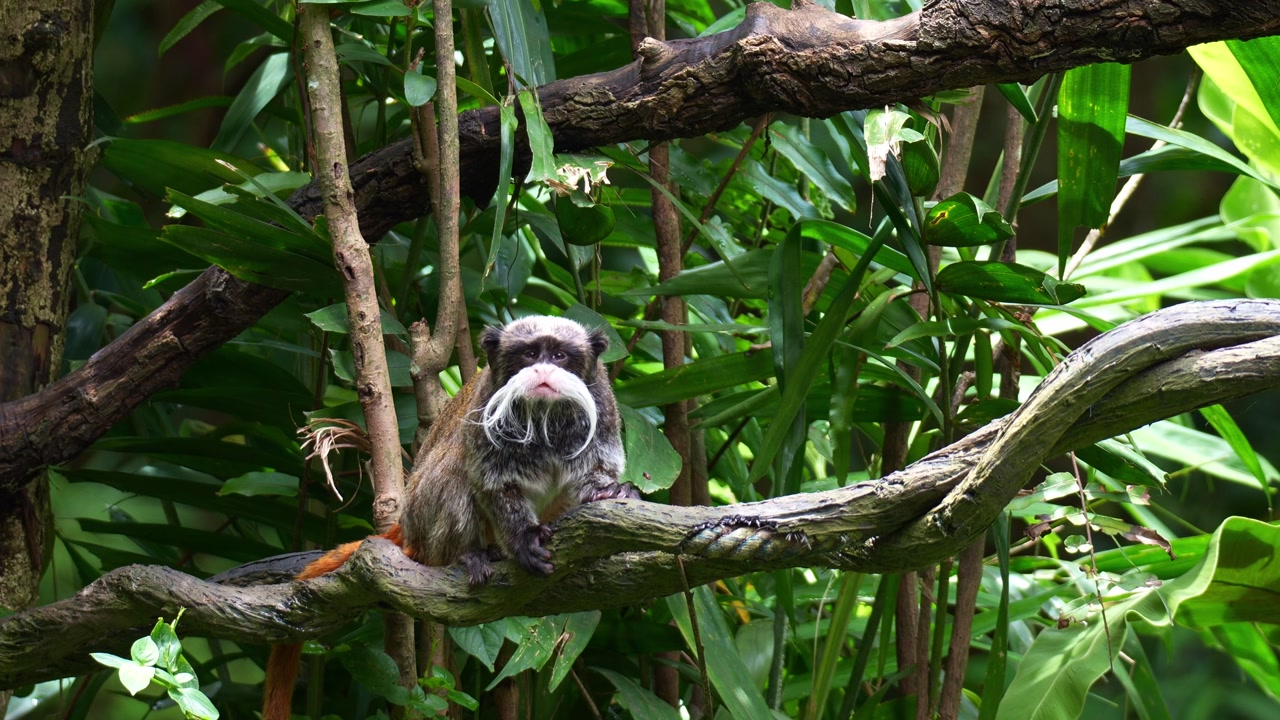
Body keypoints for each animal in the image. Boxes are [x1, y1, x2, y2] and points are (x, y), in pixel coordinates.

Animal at [262, 315, 639, 720]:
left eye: (559, 355)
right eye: (529, 354)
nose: (543, 370)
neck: (545, 417)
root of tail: (409, 528)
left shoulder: (602, 406)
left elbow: (595, 472)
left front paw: (611, 492)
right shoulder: (488, 412)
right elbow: (493, 483)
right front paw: (523, 542)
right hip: (425, 517)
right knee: (456, 463)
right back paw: (472, 554)